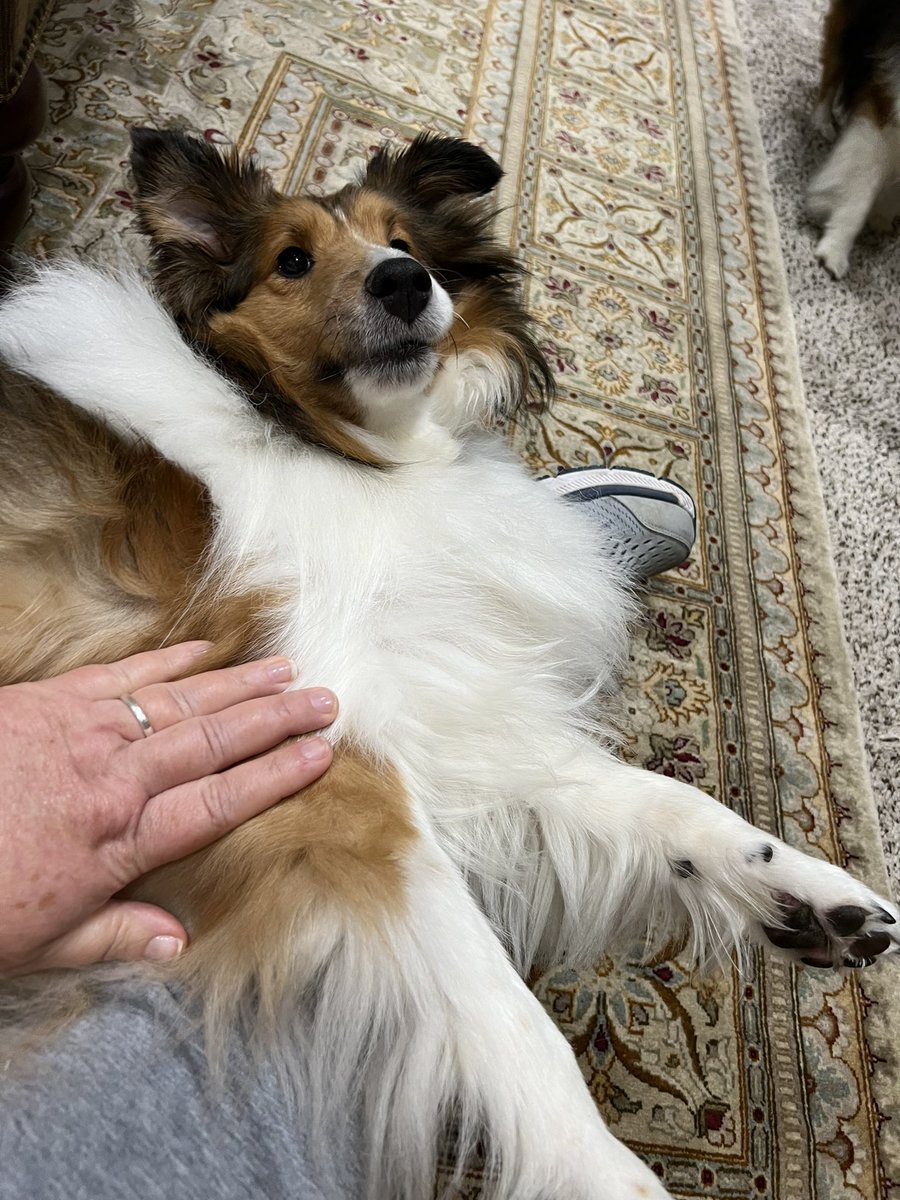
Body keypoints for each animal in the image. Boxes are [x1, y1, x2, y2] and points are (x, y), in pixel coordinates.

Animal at [1, 126, 900, 1195]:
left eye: (402, 239)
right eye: (291, 260)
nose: (403, 282)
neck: (345, 449)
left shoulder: (447, 702)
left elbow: (653, 802)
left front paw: (803, 891)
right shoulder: (321, 767)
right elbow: (507, 1014)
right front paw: (603, 1172)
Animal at [811, 1, 900, 276]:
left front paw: (883, 214)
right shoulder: (881, 107)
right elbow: (860, 193)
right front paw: (834, 251)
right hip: (851, 18)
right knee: (833, 62)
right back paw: (822, 121)